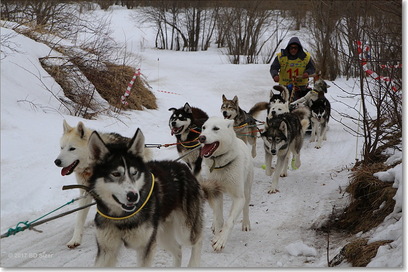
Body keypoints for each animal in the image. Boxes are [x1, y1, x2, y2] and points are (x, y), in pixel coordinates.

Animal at [198, 116, 253, 252]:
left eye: (216, 128)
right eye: (203, 127)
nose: (201, 137)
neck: (221, 165)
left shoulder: (239, 198)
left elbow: (229, 221)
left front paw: (221, 240)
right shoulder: (216, 193)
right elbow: (219, 219)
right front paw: (217, 234)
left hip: (247, 189)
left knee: (246, 207)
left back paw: (245, 223)